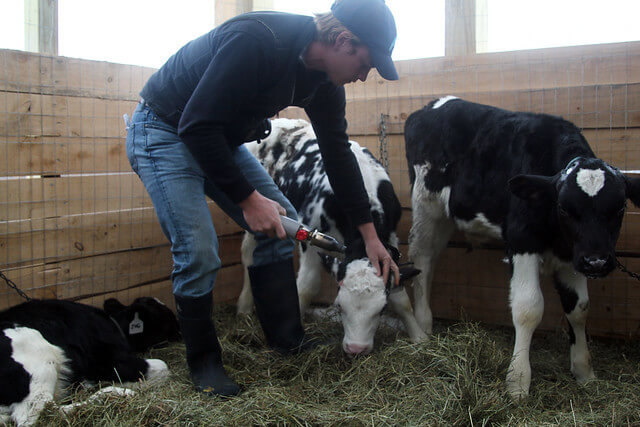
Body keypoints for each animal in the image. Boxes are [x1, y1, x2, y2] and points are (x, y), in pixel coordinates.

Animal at [0, 298, 180, 427]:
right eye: (165, 316)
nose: (179, 331)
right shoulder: (112, 362)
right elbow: (163, 367)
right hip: (40, 357)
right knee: (42, 416)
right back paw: (112, 395)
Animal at [238, 118, 428, 356]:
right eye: (339, 305)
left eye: (382, 308)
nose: (356, 348)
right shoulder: (310, 237)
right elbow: (307, 286)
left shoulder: (389, 241)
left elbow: (401, 297)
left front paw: (419, 336)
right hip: (257, 211)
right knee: (248, 255)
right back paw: (244, 307)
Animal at [404, 96, 640, 398]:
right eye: (565, 208)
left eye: (620, 208)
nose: (596, 262)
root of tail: (436, 103)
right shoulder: (521, 239)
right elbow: (528, 308)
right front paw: (517, 382)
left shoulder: (572, 253)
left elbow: (579, 308)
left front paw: (584, 371)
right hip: (427, 203)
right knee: (422, 255)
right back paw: (423, 326)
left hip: (447, 213)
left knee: (432, 258)